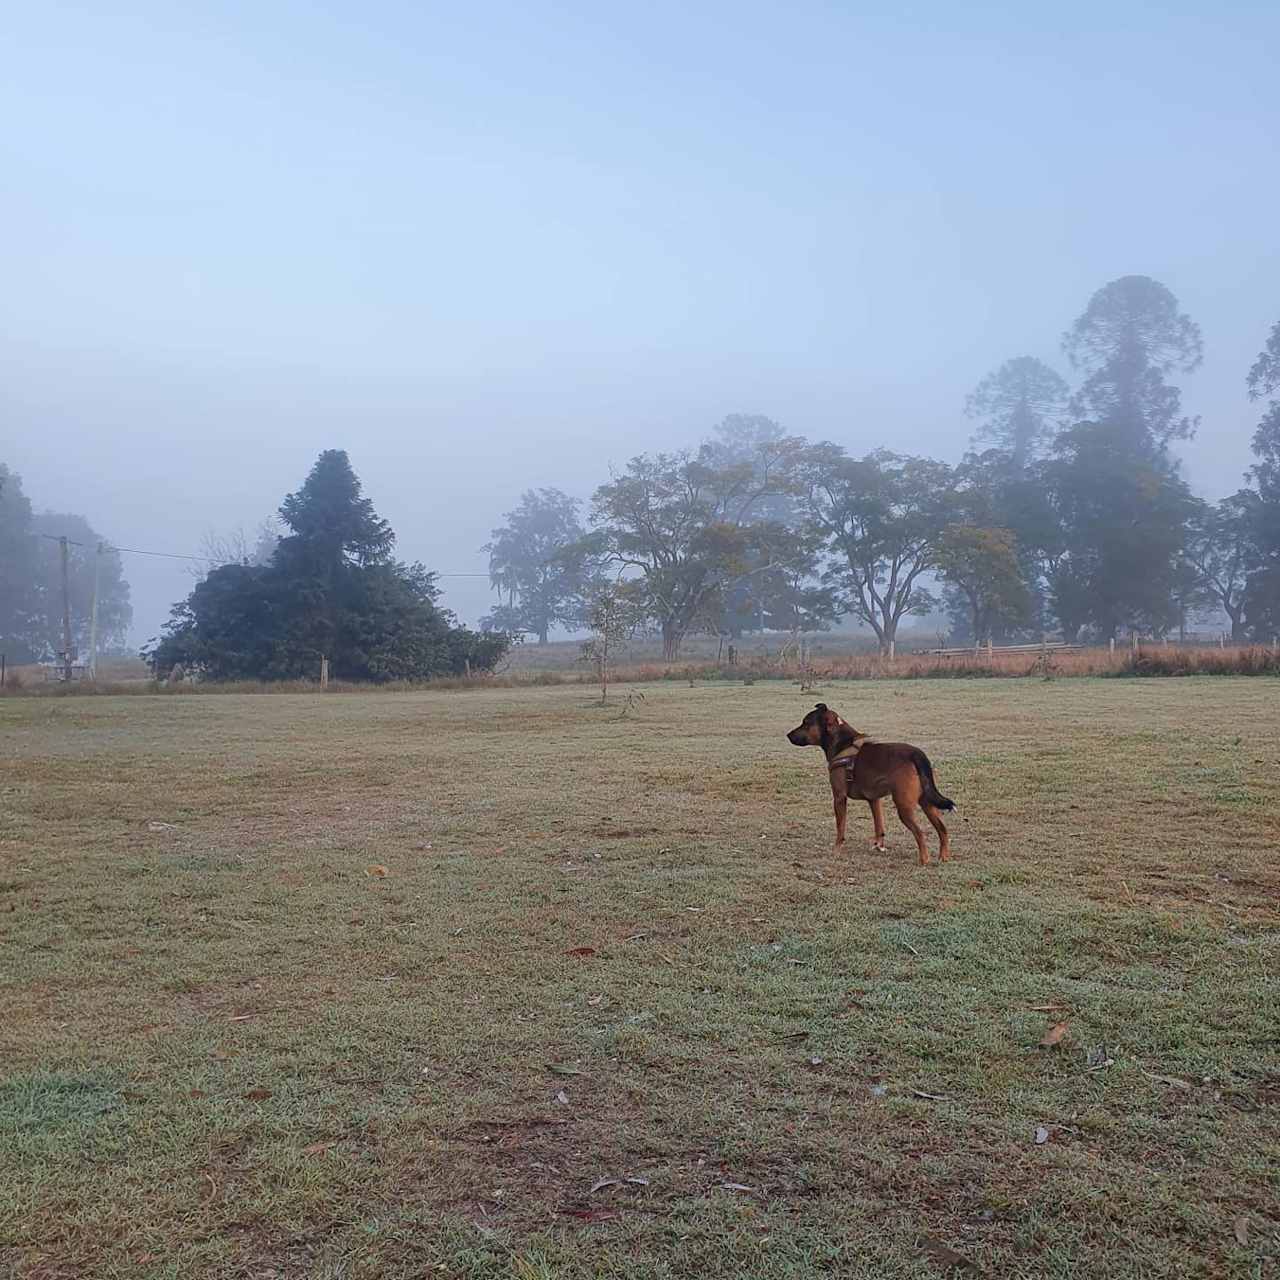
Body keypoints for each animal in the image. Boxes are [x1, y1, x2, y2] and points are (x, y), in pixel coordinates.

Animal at [783, 706, 957, 865]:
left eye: (806, 723)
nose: (788, 735)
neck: (843, 743)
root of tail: (916, 754)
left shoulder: (839, 797)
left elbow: (840, 828)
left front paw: (836, 850)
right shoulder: (874, 800)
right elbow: (879, 826)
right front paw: (879, 846)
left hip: (904, 807)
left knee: (920, 833)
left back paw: (924, 859)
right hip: (927, 802)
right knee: (942, 829)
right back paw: (944, 856)